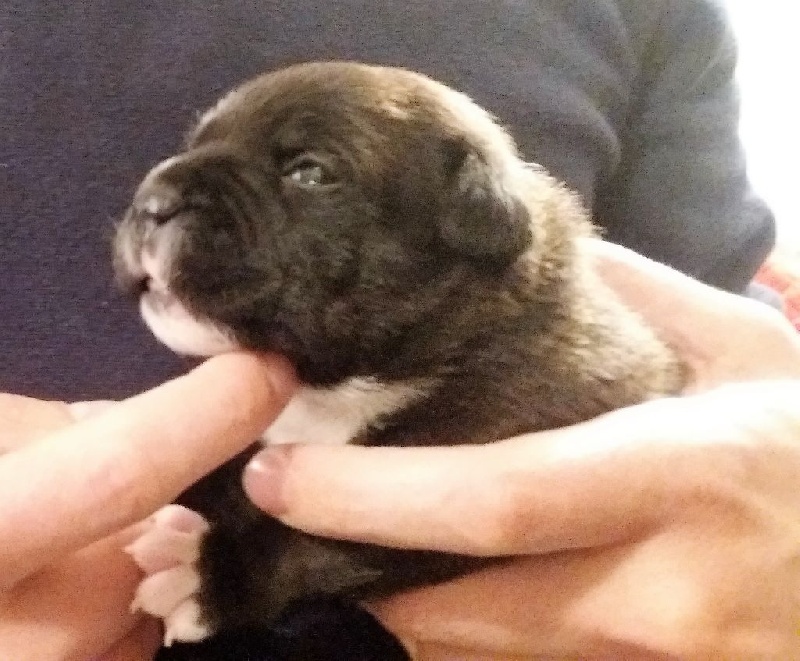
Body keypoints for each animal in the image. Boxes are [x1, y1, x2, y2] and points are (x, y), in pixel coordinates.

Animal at [113, 61, 685, 660]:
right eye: (194, 144)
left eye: (309, 173)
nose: (152, 201)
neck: (340, 389)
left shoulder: (454, 480)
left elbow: (319, 541)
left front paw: (205, 578)